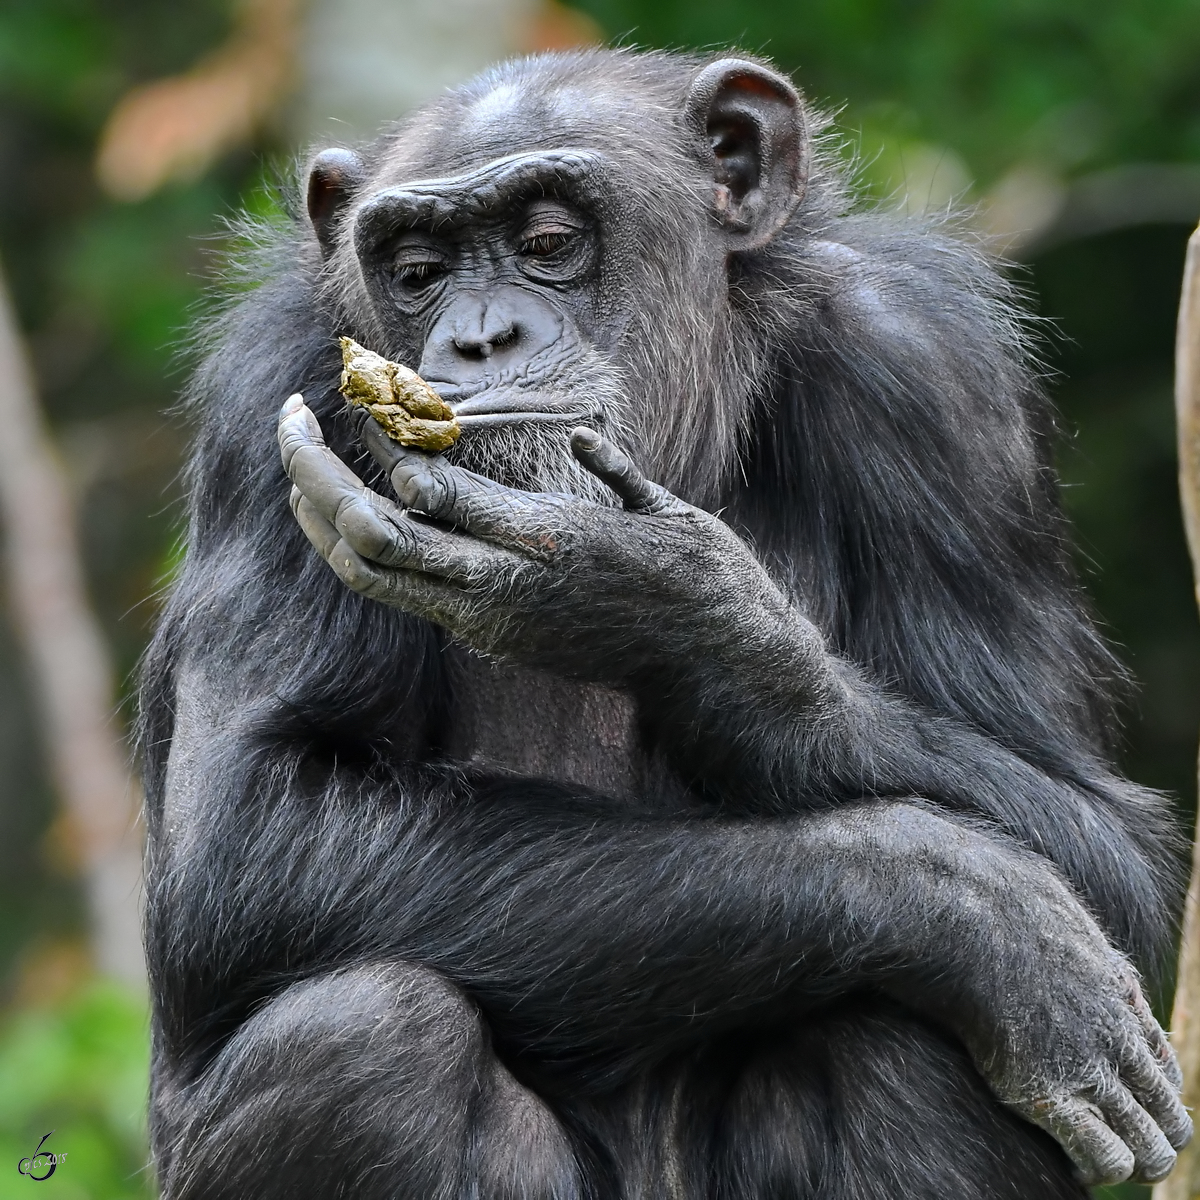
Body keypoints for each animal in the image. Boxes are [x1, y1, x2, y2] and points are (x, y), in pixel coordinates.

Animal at [138, 46, 1190, 1200]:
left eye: (550, 244)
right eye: (416, 270)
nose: (481, 334)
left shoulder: (942, 384)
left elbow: (1106, 851)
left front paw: (671, 606)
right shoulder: (269, 396)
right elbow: (253, 821)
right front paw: (970, 906)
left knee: (908, 1036)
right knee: (364, 1037)